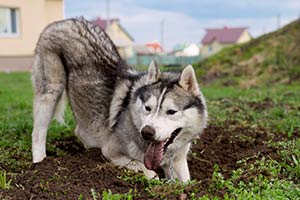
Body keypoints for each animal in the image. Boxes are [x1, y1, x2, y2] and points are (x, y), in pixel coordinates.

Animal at [31, 18, 207, 181]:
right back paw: (40, 164)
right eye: (147, 108)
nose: (147, 132)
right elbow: (147, 170)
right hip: (51, 92)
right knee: (38, 134)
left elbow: (186, 182)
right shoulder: (111, 152)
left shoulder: (178, 161)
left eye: (171, 111)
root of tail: (62, 21)